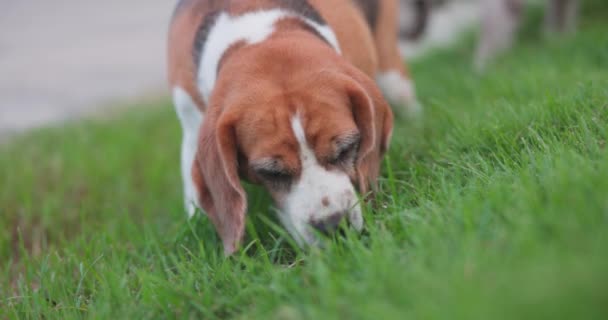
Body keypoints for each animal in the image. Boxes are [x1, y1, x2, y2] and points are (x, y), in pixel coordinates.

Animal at [166, 0, 416, 255]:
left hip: (393, 78)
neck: (257, 28)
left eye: (346, 149)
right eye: (270, 172)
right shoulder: (191, 125)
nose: (333, 227)